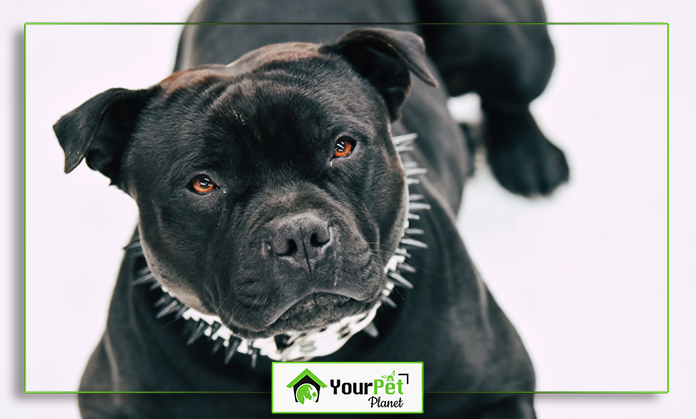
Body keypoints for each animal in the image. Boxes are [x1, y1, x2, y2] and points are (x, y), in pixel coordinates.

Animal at [54, 1, 564, 418]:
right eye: (203, 184)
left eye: (342, 147)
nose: (299, 236)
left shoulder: (499, 389)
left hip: (502, 40)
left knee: (510, 97)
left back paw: (528, 156)